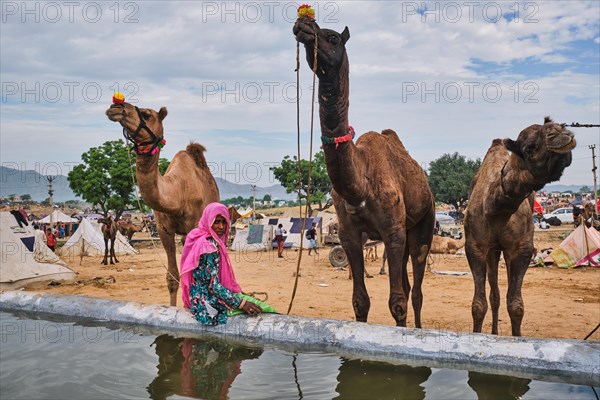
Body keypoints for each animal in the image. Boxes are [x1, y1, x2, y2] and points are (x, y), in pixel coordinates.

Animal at [106, 101, 220, 306]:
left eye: (146, 114)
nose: (115, 106)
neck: (176, 194)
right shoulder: (163, 230)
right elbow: (172, 277)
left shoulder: (194, 226)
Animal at [292, 18, 434, 328]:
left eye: (333, 38)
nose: (304, 24)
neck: (360, 185)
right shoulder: (349, 235)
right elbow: (360, 300)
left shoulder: (393, 231)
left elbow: (397, 303)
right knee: (408, 286)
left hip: (422, 226)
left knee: (417, 290)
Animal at [462, 117, 576, 336]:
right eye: (529, 147)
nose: (560, 131)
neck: (498, 210)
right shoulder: (475, 247)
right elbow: (478, 305)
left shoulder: (522, 249)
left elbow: (516, 306)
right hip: (493, 251)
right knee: (495, 295)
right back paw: (494, 333)